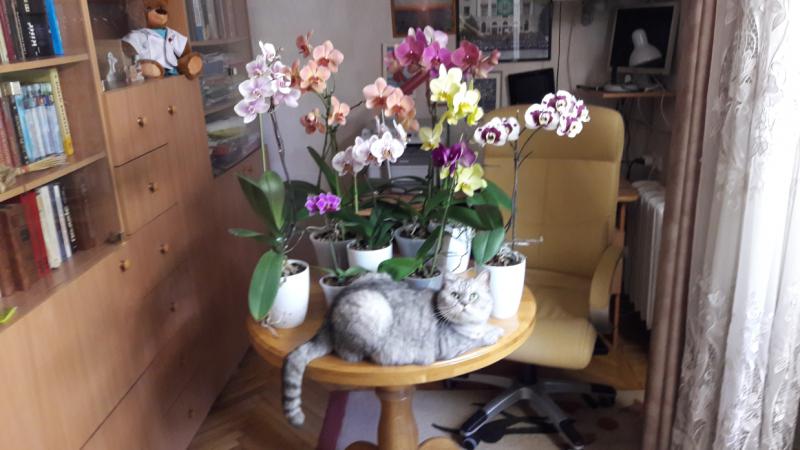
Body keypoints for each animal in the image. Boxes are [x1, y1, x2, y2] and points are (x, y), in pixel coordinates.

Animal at [282, 271, 503, 426]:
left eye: (473, 296)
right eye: (455, 295)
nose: (464, 303)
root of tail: (328, 316)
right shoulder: (451, 346)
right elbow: (479, 339)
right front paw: (494, 333)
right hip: (374, 311)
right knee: (350, 353)